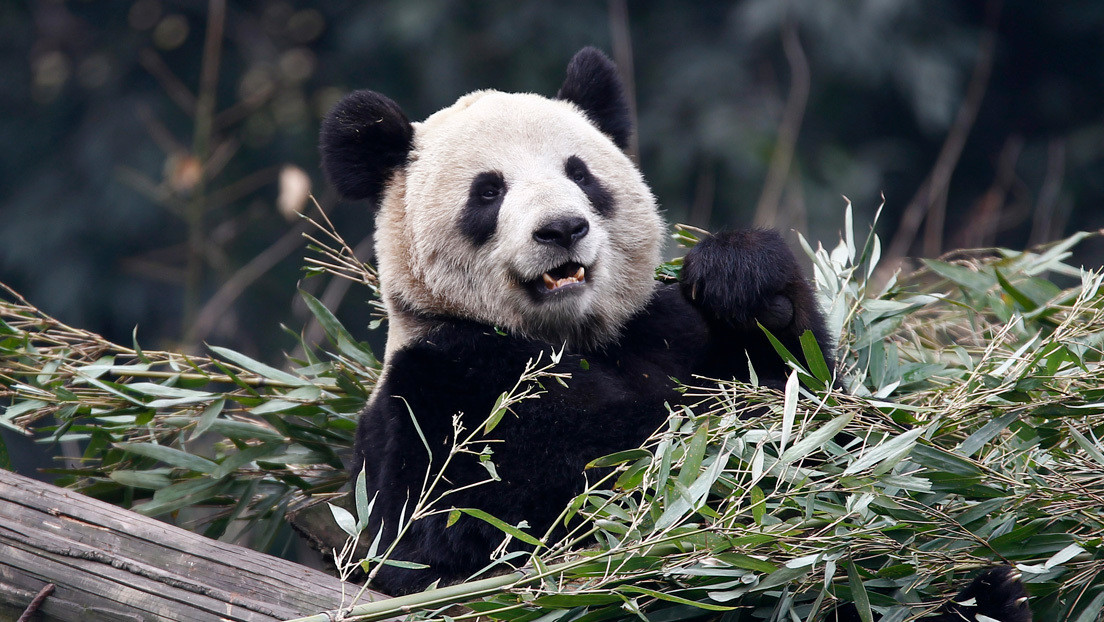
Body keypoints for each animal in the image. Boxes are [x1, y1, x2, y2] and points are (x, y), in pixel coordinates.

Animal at [322, 48, 1028, 622]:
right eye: (488, 192)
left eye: (580, 173)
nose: (562, 229)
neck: (578, 336)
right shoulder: (441, 385)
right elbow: (514, 505)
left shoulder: (665, 329)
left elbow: (816, 402)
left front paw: (741, 278)